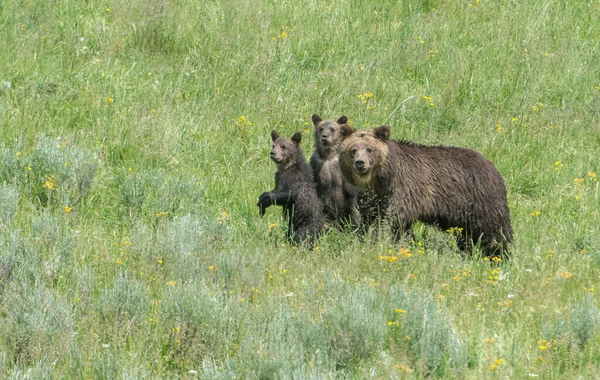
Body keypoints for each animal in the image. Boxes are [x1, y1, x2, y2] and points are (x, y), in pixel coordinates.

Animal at [340, 124, 512, 258]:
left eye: (370, 149)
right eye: (353, 150)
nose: (360, 163)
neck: (380, 181)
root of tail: (492, 166)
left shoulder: (404, 189)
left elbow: (392, 218)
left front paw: (379, 239)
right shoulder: (372, 197)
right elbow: (370, 217)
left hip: (480, 200)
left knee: (495, 230)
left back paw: (499, 255)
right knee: (468, 235)